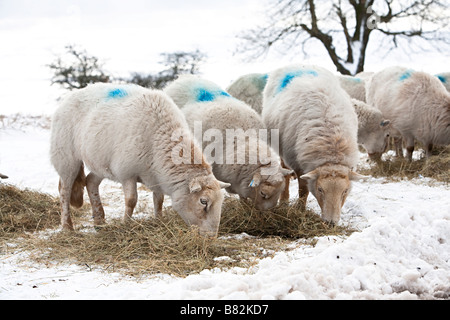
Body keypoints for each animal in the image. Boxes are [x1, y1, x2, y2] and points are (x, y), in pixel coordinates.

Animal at [51, 83, 230, 238]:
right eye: (203, 201)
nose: (211, 237)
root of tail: (74, 93)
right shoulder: (127, 172)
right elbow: (131, 200)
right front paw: (126, 225)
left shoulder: (156, 175)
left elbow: (159, 200)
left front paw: (159, 221)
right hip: (66, 157)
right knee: (64, 190)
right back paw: (67, 227)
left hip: (101, 163)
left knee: (90, 181)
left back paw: (100, 222)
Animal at [262, 64, 364, 225]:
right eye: (320, 189)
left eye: (345, 191)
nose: (330, 223)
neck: (332, 149)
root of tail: (298, 65)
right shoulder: (299, 163)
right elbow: (303, 190)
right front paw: (300, 210)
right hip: (283, 147)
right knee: (285, 171)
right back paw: (284, 201)